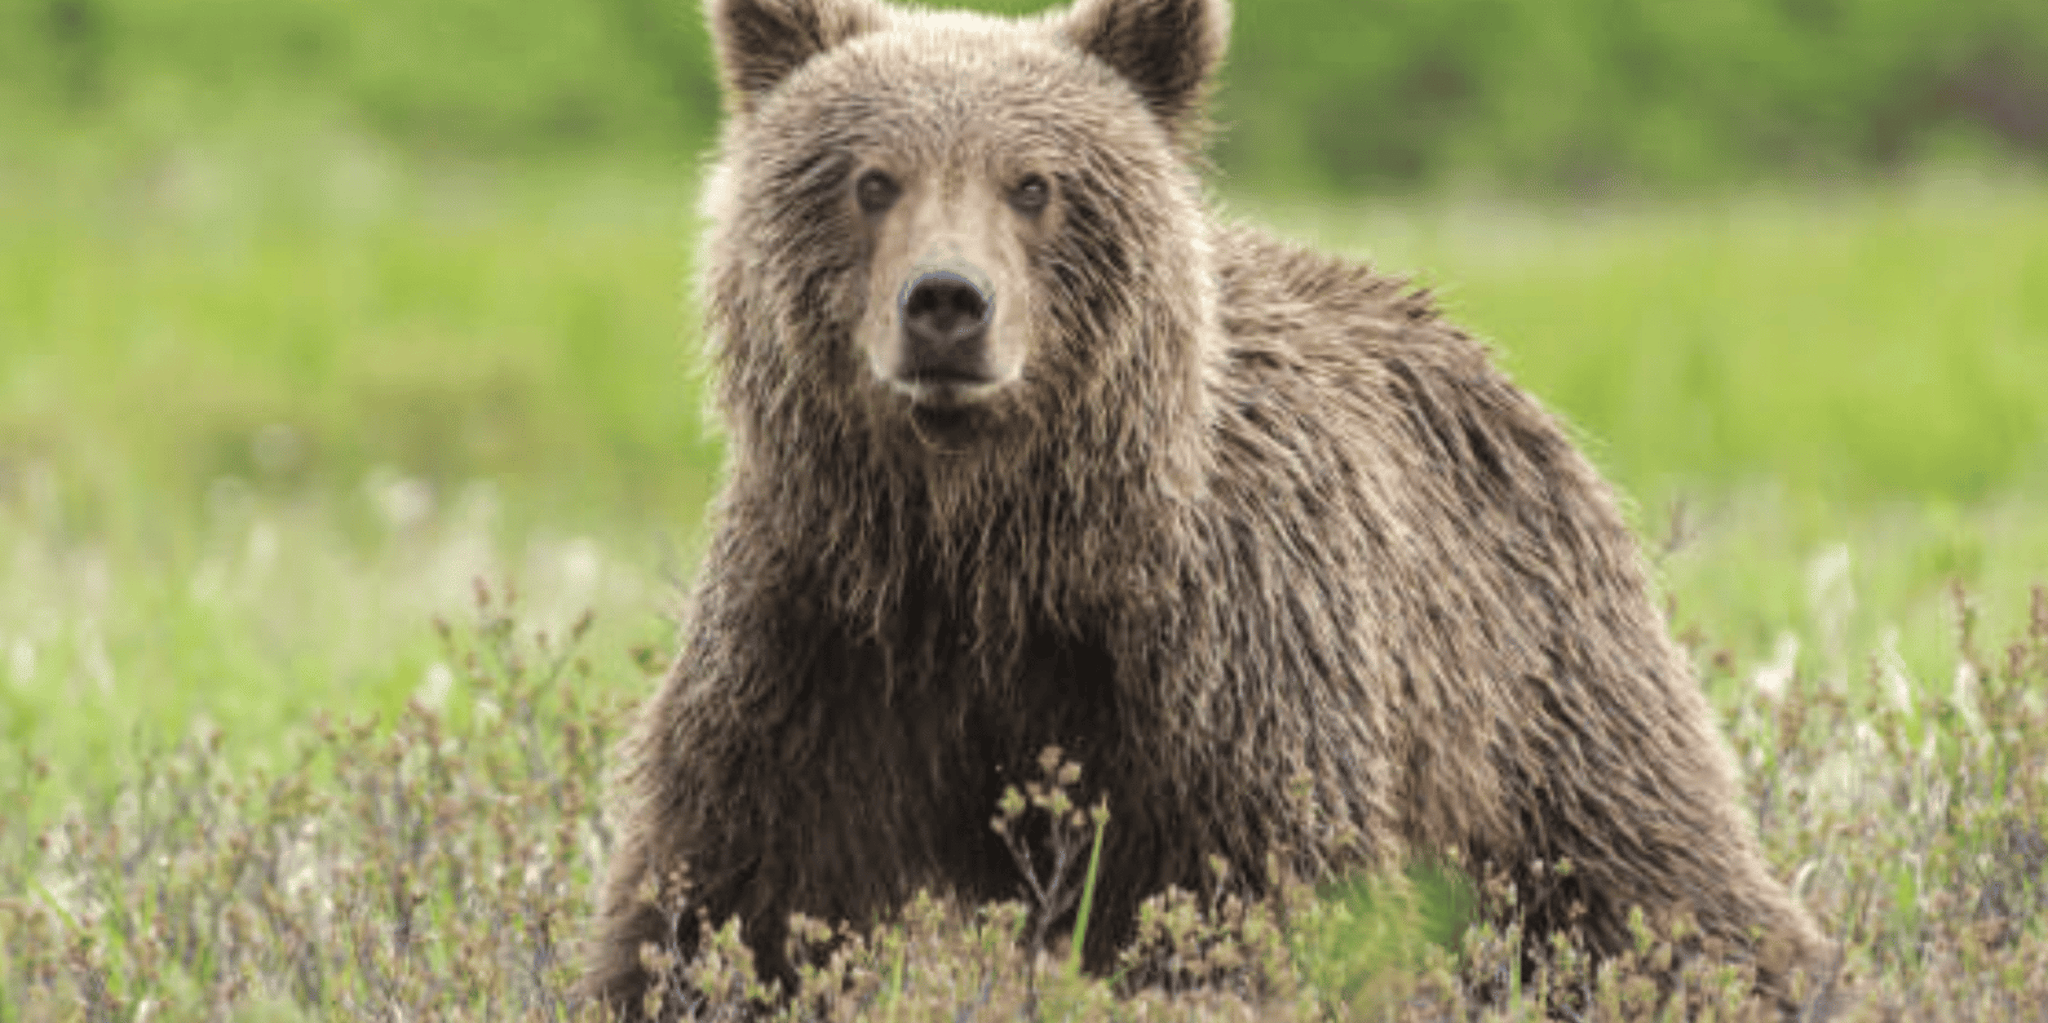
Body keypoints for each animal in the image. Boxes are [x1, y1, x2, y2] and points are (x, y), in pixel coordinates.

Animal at [584, 0, 1832, 1015]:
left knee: (1647, 878)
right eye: (869, 179)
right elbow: (724, 899)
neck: (988, 547)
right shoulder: (822, 640)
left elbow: (1265, 899)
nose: (945, 303)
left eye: (1032, 183)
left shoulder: (1219, 662)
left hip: (1529, 681)